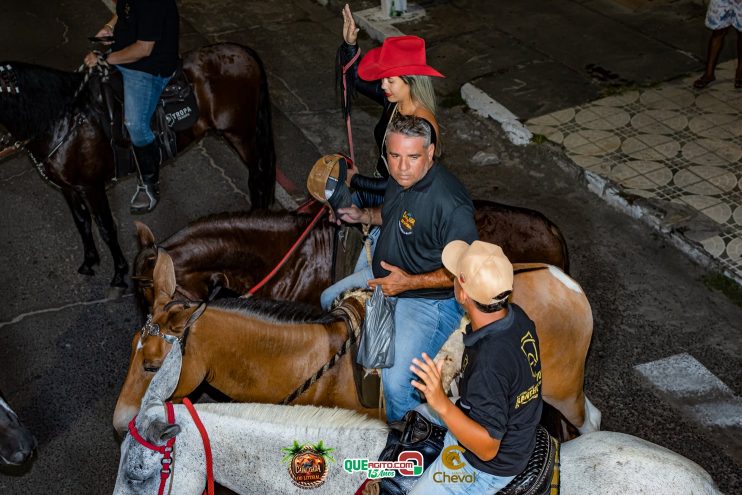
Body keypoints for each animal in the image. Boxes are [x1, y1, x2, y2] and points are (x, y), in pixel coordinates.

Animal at [0, 42, 276, 296]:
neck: (67, 120)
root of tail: (242, 51)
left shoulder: (92, 187)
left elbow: (106, 228)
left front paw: (119, 273)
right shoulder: (69, 188)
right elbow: (82, 222)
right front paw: (90, 261)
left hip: (240, 134)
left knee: (258, 175)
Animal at [113, 248, 600, 438]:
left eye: (152, 366)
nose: (121, 423)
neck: (307, 361)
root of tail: (564, 282)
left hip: (561, 390)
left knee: (590, 421)